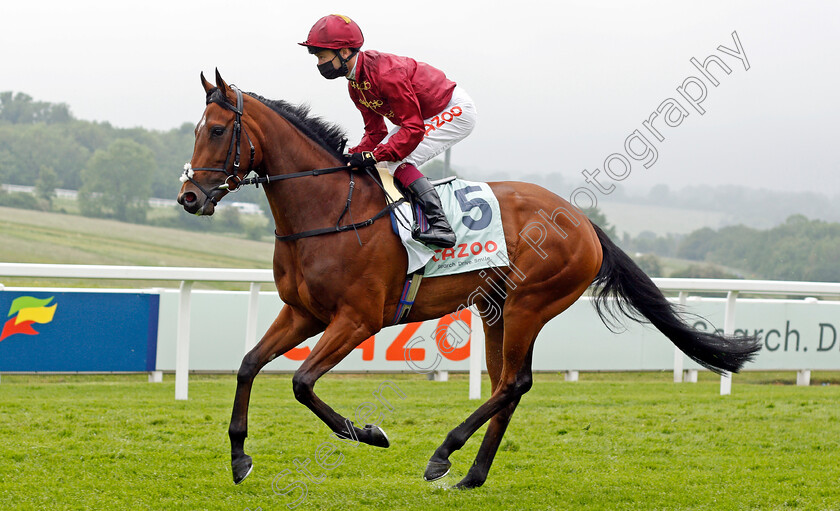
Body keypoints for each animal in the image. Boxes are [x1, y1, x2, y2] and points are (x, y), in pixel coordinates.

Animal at [176, 70, 760, 490]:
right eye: (197, 129)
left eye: (219, 130)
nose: (189, 197)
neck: (329, 211)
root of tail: (582, 220)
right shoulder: (303, 313)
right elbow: (248, 365)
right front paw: (239, 458)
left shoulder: (358, 320)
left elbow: (301, 382)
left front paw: (370, 432)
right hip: (496, 308)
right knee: (508, 385)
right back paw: (472, 476)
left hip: (529, 304)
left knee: (515, 384)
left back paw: (442, 455)